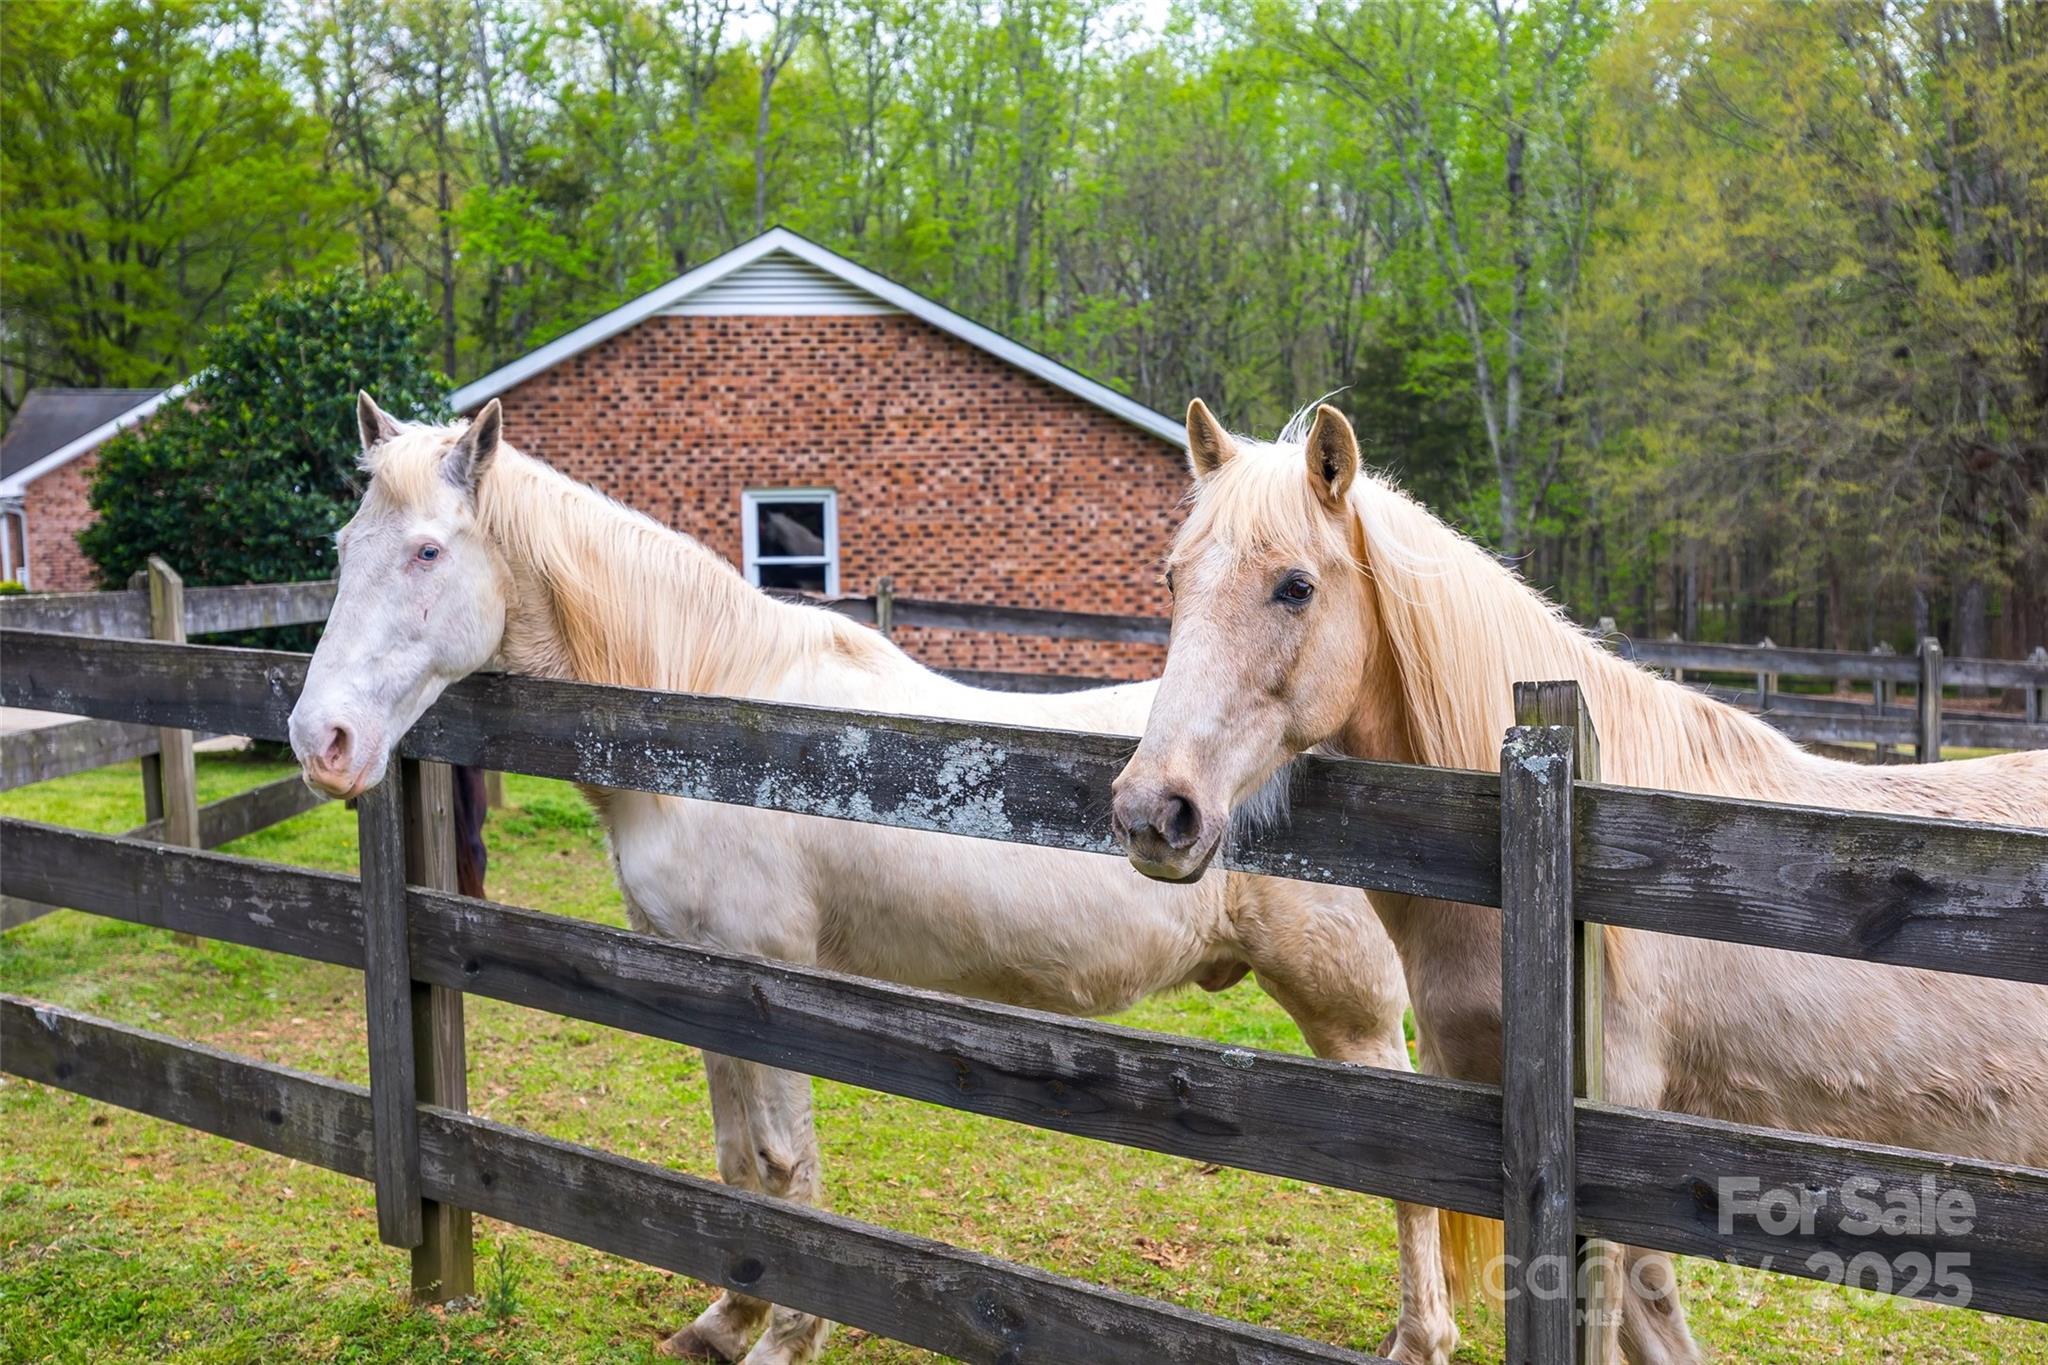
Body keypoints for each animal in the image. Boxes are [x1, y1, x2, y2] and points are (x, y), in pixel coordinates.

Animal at [285, 394, 1458, 1365]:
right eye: (344, 549)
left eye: (428, 550)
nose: (320, 740)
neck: (714, 724)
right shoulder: (697, 982)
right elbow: (736, 1165)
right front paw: (728, 1318)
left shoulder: (770, 982)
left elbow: (784, 1171)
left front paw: (783, 1339)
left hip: (1352, 1015)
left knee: (1412, 1187)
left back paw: (1419, 1342)